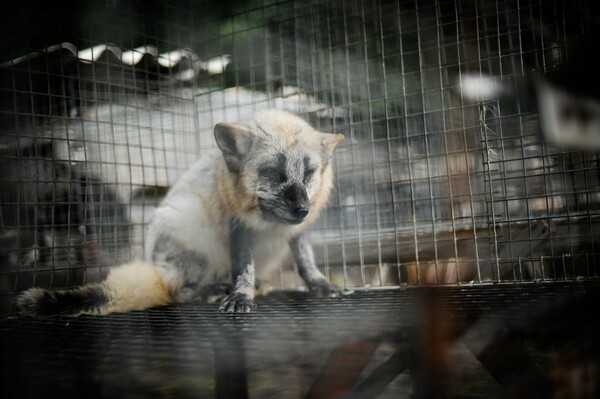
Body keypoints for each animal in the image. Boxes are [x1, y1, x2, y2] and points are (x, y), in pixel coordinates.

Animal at [16, 108, 344, 316]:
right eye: (273, 173)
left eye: (309, 173)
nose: (302, 210)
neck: (271, 225)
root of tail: (157, 268)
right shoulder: (237, 226)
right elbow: (243, 268)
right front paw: (240, 296)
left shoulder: (298, 232)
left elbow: (305, 261)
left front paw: (320, 285)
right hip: (189, 226)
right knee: (177, 292)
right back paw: (212, 290)